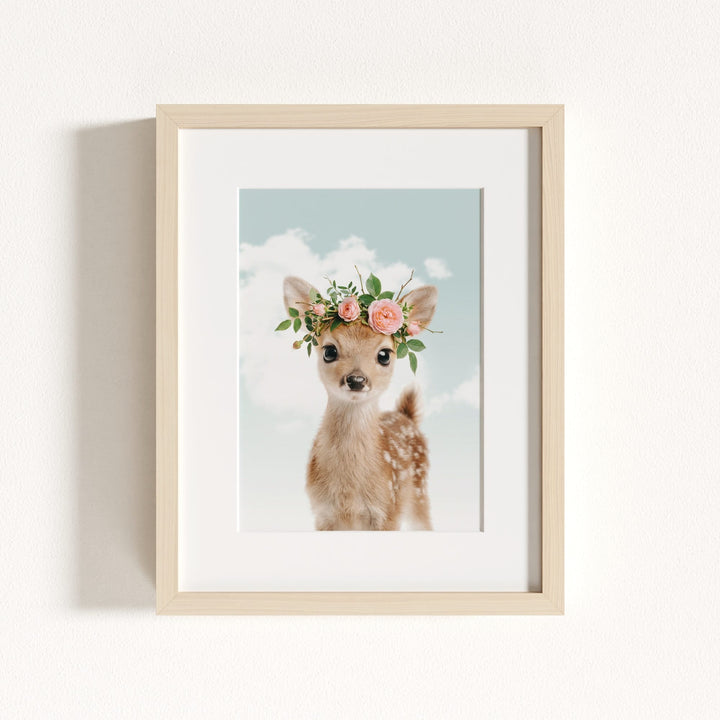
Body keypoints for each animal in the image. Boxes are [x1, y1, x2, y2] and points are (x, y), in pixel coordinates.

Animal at [282, 276, 438, 531]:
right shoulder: (322, 514)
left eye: (384, 354)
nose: (356, 380)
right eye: (329, 351)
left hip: (419, 491)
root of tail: (406, 415)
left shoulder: (388, 511)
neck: (348, 492)